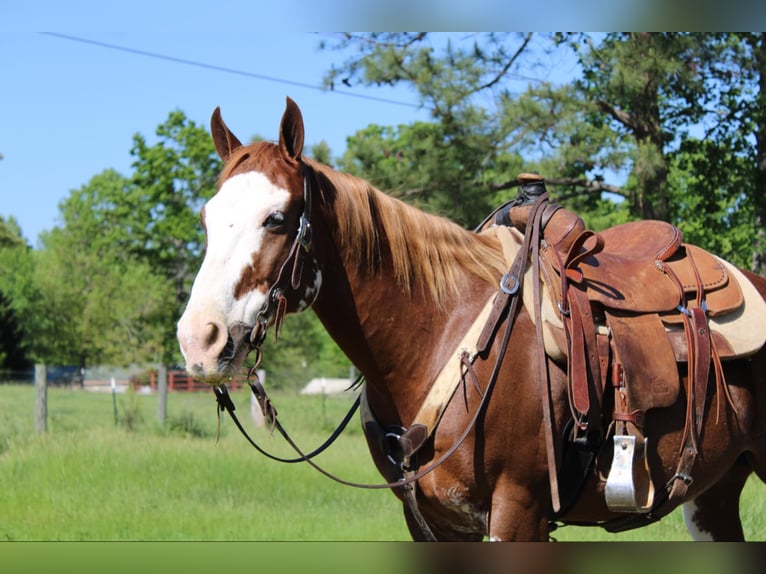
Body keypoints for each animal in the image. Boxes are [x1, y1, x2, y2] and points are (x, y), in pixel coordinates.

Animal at [177, 97, 766, 544]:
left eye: (276, 219)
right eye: (205, 218)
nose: (198, 340)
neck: (438, 339)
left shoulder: (518, 512)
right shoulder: (429, 521)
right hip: (714, 496)